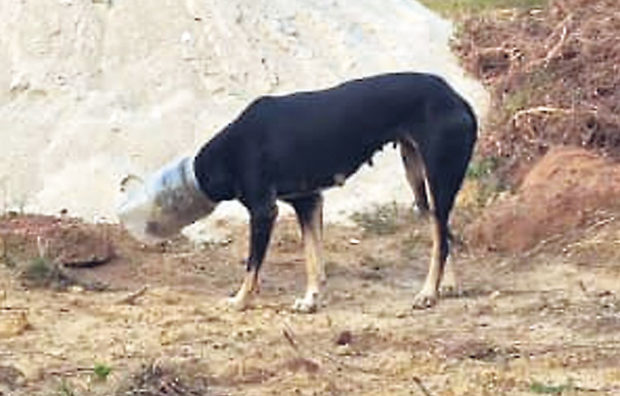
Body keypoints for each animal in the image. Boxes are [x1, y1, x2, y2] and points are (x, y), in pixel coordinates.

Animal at [196, 72, 478, 312]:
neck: (233, 147)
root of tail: (457, 99)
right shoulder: (308, 201)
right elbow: (312, 258)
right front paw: (311, 300)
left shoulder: (264, 212)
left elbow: (252, 265)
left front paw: (239, 300)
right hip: (418, 185)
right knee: (444, 235)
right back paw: (449, 284)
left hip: (439, 180)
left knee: (441, 240)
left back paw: (428, 292)